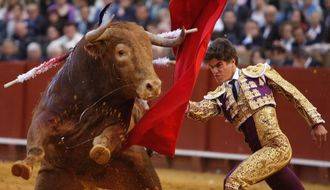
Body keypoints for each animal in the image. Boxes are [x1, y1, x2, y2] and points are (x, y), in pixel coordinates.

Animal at [11, 13, 188, 189]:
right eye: (121, 52)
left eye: (150, 51)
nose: (154, 86)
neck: (91, 100)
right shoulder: (45, 116)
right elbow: (36, 140)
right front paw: (23, 166)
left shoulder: (120, 123)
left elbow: (109, 136)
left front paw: (100, 149)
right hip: (49, 178)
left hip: (144, 172)